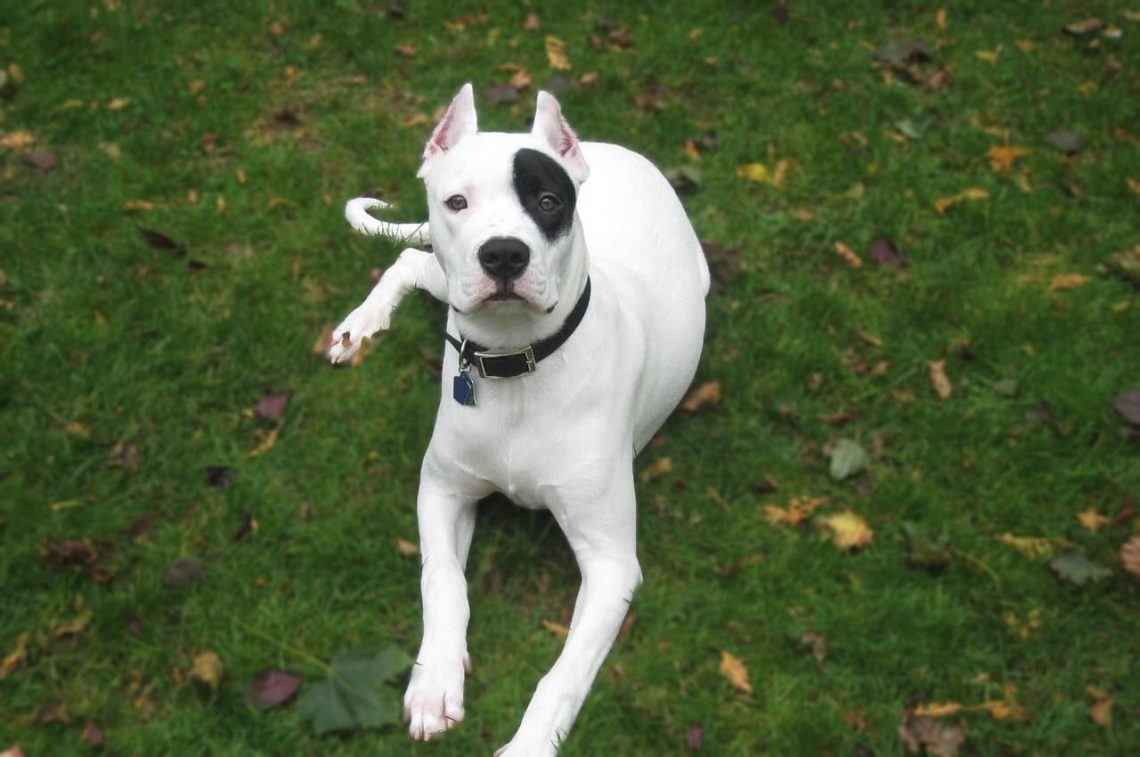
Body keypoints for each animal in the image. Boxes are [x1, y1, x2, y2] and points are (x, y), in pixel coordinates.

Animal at [326, 84, 706, 756]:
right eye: (457, 201)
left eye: (547, 201)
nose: (503, 253)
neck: (517, 366)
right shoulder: (442, 489)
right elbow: (443, 582)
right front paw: (435, 681)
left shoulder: (611, 564)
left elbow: (565, 673)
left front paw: (527, 745)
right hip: (446, 280)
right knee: (410, 259)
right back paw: (360, 324)